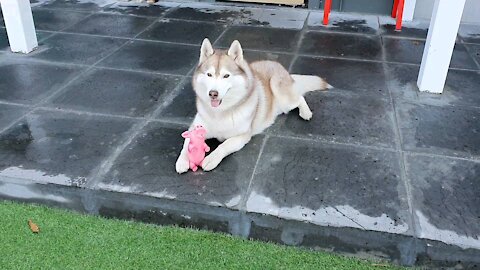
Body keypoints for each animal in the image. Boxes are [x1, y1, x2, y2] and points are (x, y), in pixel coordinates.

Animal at [175, 38, 330, 173]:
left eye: (226, 76)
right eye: (209, 74)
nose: (213, 93)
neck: (220, 112)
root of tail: (280, 67)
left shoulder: (242, 136)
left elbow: (225, 145)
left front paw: (211, 158)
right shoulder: (195, 127)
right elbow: (186, 142)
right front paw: (182, 161)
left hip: (280, 92)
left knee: (299, 97)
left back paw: (305, 112)